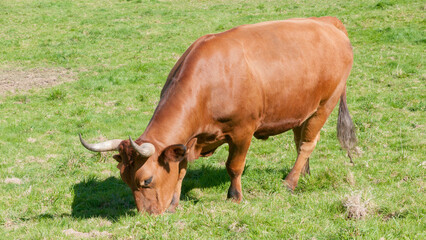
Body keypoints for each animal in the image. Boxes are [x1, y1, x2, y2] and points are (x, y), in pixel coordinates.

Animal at [79, 17, 356, 216]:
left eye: (146, 180)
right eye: (124, 180)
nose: (147, 215)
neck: (208, 83)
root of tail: (327, 22)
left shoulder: (243, 130)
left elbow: (234, 166)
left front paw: (235, 197)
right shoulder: (187, 140)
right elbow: (180, 170)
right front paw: (174, 203)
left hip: (325, 104)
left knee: (308, 143)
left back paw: (290, 182)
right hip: (302, 109)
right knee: (300, 141)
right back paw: (302, 174)